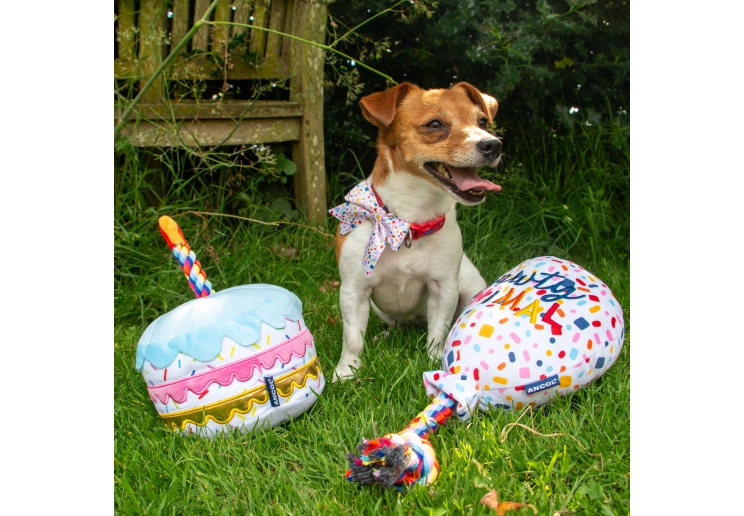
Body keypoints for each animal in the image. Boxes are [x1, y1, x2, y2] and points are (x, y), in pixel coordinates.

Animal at [332, 80, 502, 378]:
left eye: (482, 121)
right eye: (435, 124)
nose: (492, 144)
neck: (410, 221)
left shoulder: (443, 288)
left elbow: (438, 333)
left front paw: (434, 361)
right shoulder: (353, 291)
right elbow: (352, 339)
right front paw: (347, 372)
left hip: (470, 288)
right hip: (379, 308)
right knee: (396, 323)